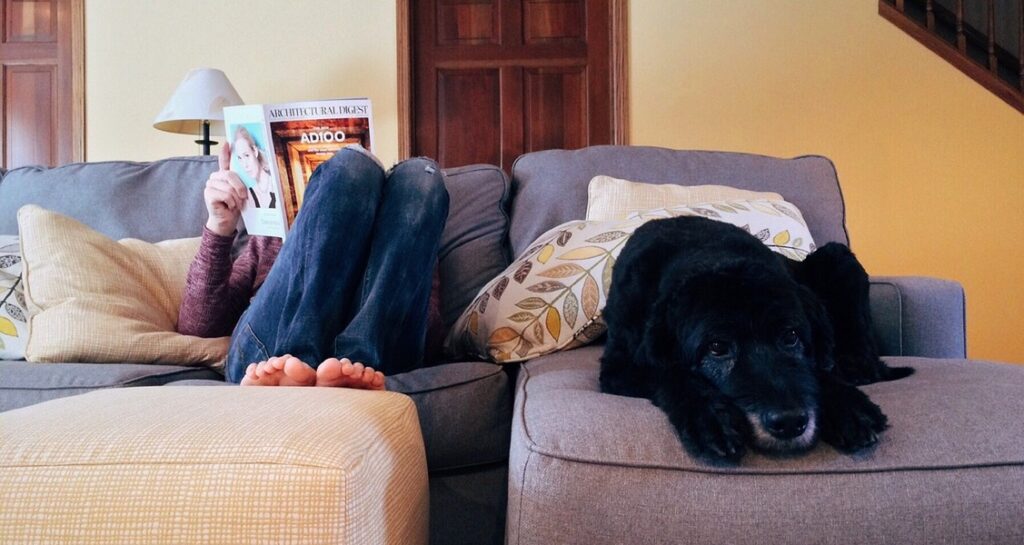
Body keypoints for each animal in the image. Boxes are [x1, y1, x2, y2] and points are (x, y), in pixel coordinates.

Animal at [598, 215, 913, 460]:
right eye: (716, 347)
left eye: (791, 336)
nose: (789, 423)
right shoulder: (618, 368)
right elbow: (668, 372)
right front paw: (710, 417)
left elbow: (816, 372)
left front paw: (850, 407)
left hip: (839, 257)